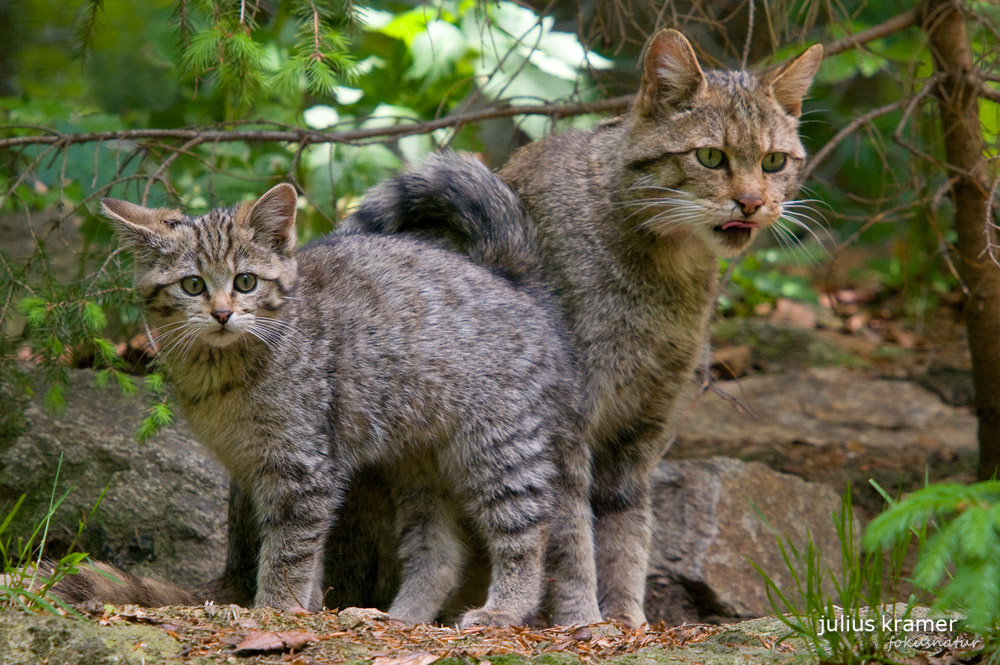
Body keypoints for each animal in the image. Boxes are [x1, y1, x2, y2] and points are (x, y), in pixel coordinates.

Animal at [100, 157, 596, 628]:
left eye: (245, 282)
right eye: (192, 284)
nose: (222, 314)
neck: (224, 371)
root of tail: (514, 278)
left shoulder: (303, 466)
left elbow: (289, 550)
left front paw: (275, 609)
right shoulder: (269, 468)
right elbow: (307, 552)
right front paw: (307, 606)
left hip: (502, 445)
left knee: (530, 535)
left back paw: (506, 609)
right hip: (420, 468)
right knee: (439, 556)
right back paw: (403, 616)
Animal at [344, 28, 820, 624]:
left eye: (775, 161)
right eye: (711, 156)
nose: (753, 203)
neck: (665, 273)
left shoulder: (641, 431)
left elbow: (626, 536)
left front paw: (628, 621)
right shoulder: (567, 426)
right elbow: (570, 539)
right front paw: (583, 622)